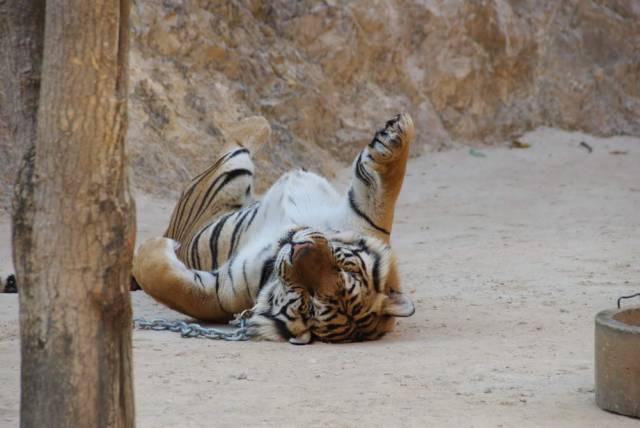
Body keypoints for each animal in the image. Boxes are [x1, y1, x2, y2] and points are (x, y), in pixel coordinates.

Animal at [132, 113, 418, 344]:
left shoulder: (220, 291)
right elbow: (384, 191)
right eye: (345, 268)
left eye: (309, 302)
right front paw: (397, 134)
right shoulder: (363, 220)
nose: (298, 248)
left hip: (226, 178)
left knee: (235, 146)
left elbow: (170, 284)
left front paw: (151, 248)